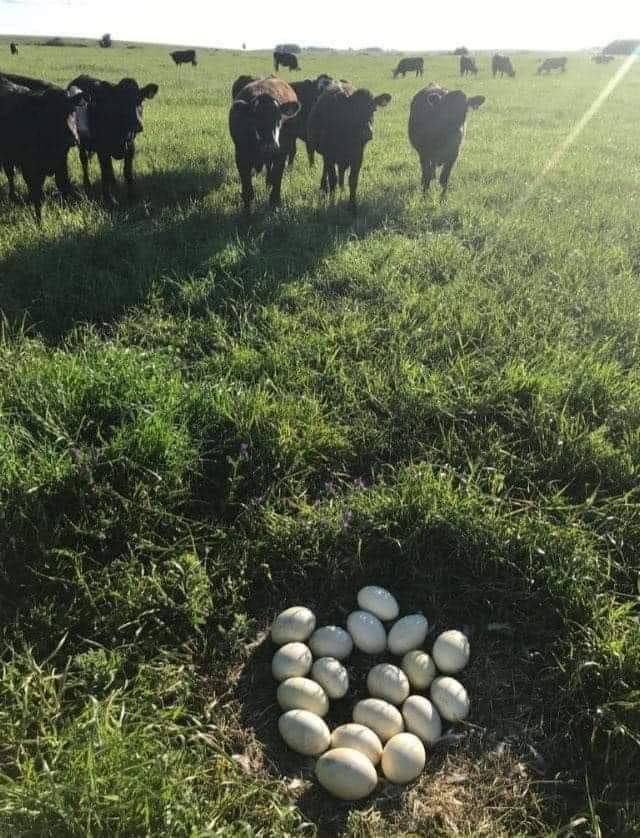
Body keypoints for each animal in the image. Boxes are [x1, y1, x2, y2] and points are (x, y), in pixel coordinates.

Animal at [0, 75, 84, 220]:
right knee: (10, 174)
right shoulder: (29, 167)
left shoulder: (60, 163)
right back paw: (13, 196)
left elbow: (64, 185)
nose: (72, 139)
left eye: (73, 111)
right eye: (51, 113)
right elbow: (36, 193)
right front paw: (39, 221)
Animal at [67, 75, 159, 205]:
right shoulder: (102, 150)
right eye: (120, 101)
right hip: (81, 143)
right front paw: (109, 199)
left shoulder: (130, 147)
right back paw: (87, 185)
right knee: (84, 161)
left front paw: (132, 195)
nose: (137, 124)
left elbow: (128, 172)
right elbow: (107, 173)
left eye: (140, 100)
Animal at [229, 77, 300, 213]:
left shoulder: (281, 155)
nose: (269, 146)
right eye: (255, 118)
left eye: (279, 119)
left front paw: (275, 203)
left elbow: (277, 179)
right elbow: (247, 189)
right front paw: (247, 211)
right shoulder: (240, 157)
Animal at [308, 81, 391, 213]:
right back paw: (324, 188)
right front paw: (332, 204)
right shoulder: (329, 155)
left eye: (373, 109)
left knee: (341, 172)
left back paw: (341, 188)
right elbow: (333, 179)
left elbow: (353, 180)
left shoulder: (358, 156)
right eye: (354, 109)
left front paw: (352, 206)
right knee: (327, 171)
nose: (367, 132)